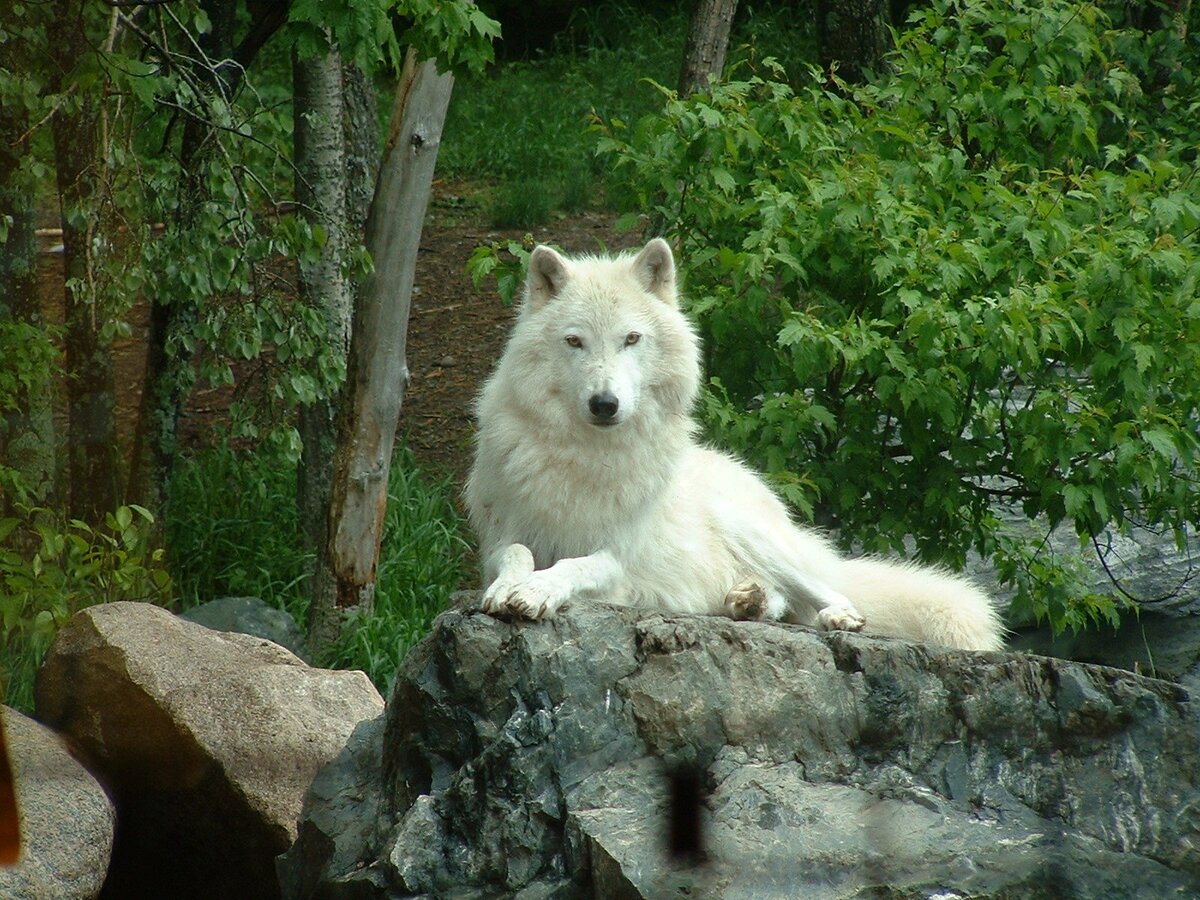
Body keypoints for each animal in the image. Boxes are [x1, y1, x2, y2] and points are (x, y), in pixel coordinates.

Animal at [465, 237, 1003, 648]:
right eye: (575, 341)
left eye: (631, 339)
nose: (604, 404)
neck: (588, 458)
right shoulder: (499, 539)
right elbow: (517, 554)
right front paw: (510, 588)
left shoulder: (620, 560)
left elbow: (575, 564)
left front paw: (537, 591)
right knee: (784, 602)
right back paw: (748, 602)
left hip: (750, 530)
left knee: (825, 591)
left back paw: (833, 615)